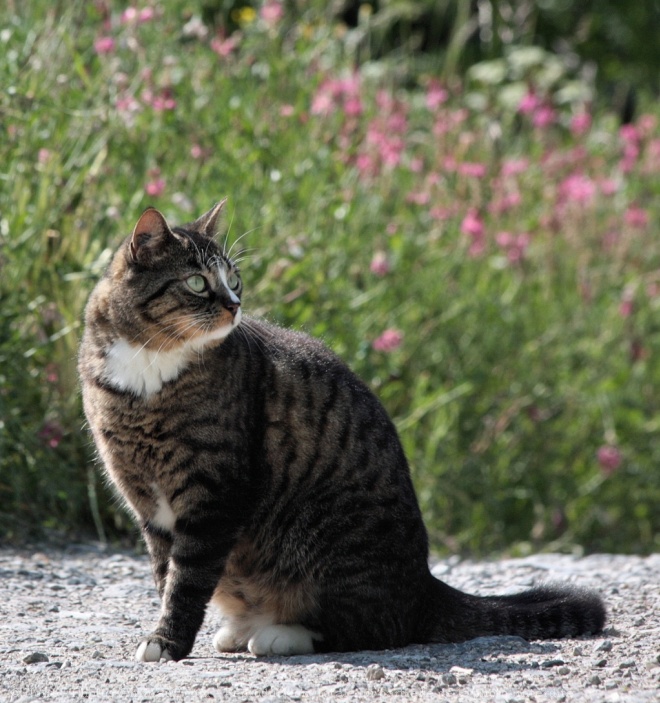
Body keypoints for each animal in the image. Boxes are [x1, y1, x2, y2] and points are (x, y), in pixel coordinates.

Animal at [78, 201, 608, 664]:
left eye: (234, 279)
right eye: (196, 282)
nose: (234, 305)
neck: (150, 369)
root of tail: (425, 586)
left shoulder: (213, 495)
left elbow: (187, 578)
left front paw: (167, 641)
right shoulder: (147, 502)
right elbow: (165, 572)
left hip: (329, 542)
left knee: (372, 628)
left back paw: (279, 634)